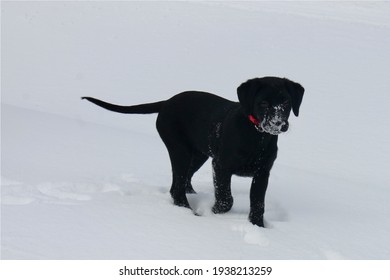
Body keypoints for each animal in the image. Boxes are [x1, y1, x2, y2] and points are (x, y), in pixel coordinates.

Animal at [82, 77, 304, 228]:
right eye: (264, 103)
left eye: (286, 102)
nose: (278, 124)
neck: (256, 136)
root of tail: (166, 102)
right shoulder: (220, 166)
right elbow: (226, 198)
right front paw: (214, 213)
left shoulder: (262, 173)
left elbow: (258, 204)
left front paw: (258, 227)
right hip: (179, 150)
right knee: (176, 187)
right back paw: (188, 212)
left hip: (198, 154)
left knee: (185, 180)